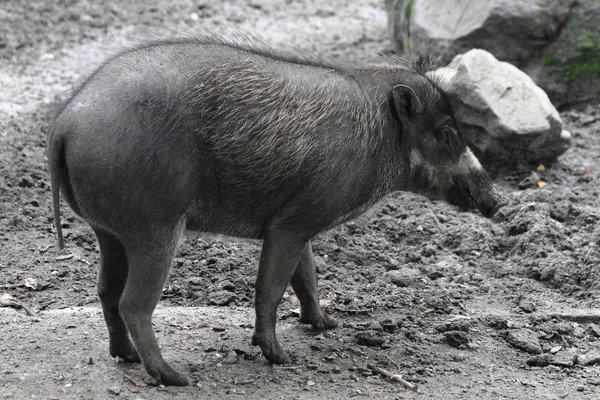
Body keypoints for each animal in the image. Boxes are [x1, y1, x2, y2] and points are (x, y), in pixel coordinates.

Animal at [48, 33, 506, 384]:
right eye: (446, 133)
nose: (497, 202)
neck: (380, 135)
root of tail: (65, 123)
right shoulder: (292, 224)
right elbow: (270, 288)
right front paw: (281, 358)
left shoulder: (297, 222)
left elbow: (307, 278)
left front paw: (326, 325)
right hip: (154, 227)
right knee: (133, 303)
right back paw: (174, 377)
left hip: (109, 232)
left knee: (106, 292)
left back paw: (125, 356)